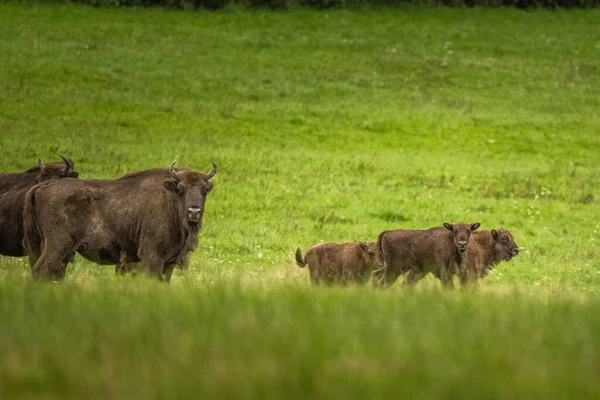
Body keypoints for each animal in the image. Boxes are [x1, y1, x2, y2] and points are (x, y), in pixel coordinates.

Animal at [22, 160, 217, 282]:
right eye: (180, 189)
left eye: (205, 189)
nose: (194, 211)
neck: (169, 200)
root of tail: (43, 186)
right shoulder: (151, 257)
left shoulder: (169, 262)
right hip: (57, 245)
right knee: (42, 270)